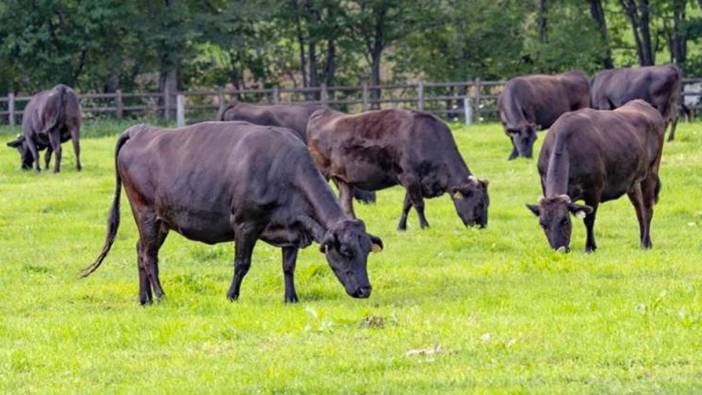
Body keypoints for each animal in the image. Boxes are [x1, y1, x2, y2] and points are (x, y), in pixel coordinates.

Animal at [82, 122, 384, 304]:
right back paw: (161, 295)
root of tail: (141, 130)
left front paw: (291, 298)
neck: (283, 170)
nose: (365, 290)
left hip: (161, 220)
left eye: (367, 252)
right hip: (145, 212)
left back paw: (145, 299)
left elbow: (288, 266)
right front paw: (231, 295)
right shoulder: (245, 224)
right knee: (148, 256)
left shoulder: (293, 228)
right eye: (345, 252)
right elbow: (242, 263)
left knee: (140, 251)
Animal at [308, 109, 490, 232]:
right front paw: (425, 226)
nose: (482, 225)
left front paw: (401, 227)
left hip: (344, 180)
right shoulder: (410, 178)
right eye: (480, 203)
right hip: (322, 173)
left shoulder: (414, 182)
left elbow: (406, 205)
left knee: (346, 204)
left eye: (487, 203)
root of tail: (324, 114)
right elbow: (418, 204)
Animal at [528, 100, 664, 252]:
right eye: (543, 224)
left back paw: (646, 243)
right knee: (639, 209)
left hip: (651, 172)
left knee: (647, 208)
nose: (560, 249)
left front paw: (590, 247)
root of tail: (643, 103)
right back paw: (644, 241)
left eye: (565, 220)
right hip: (633, 182)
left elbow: (589, 219)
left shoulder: (594, 190)